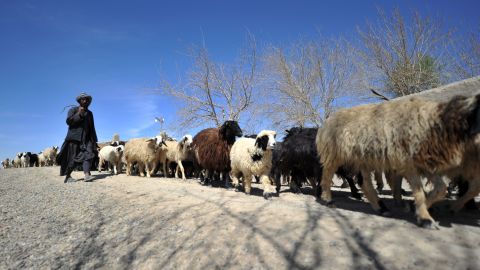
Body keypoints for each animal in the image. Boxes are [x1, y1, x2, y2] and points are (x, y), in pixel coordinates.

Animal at [316, 94, 480, 229]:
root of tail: (326, 122)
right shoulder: (408, 163)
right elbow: (420, 192)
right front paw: (425, 218)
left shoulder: (425, 164)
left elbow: (441, 189)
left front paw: (418, 209)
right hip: (334, 154)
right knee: (327, 175)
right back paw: (328, 199)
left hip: (362, 158)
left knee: (365, 183)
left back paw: (382, 208)